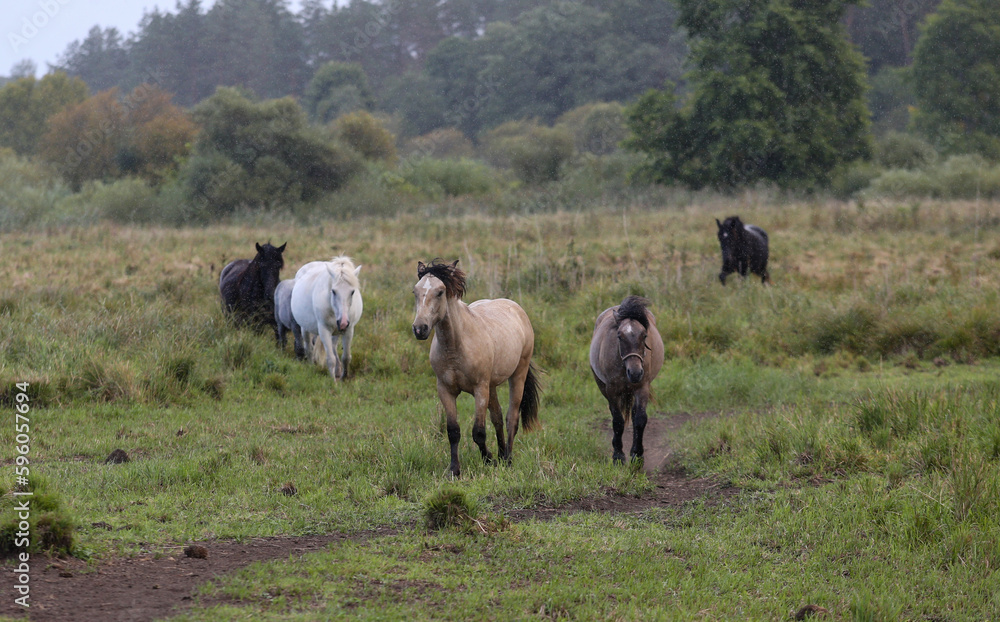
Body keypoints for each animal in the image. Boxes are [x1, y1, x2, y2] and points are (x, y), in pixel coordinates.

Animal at [411, 259, 540, 478]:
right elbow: (453, 431)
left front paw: (488, 460)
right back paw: (502, 453)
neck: (456, 346)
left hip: (517, 375)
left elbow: (478, 432)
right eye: (415, 291)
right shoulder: (445, 390)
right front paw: (455, 470)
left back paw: (508, 459)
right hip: (492, 386)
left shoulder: (480, 389)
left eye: (440, 292)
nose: (420, 329)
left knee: (511, 418)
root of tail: (516, 308)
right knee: (497, 417)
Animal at [589, 295, 664, 464]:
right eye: (619, 336)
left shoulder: (642, 387)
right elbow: (617, 421)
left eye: (644, 335)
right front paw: (618, 456)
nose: (635, 373)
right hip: (603, 387)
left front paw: (637, 455)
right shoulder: (611, 389)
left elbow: (640, 419)